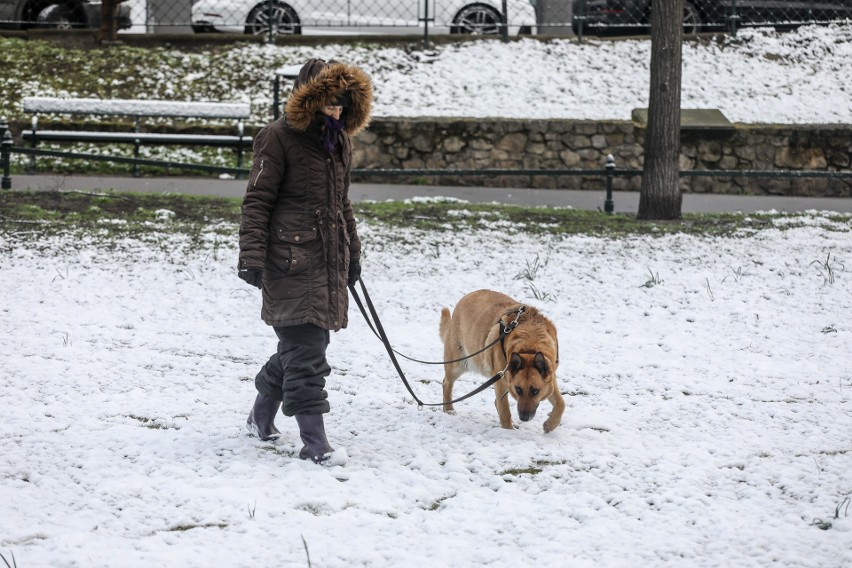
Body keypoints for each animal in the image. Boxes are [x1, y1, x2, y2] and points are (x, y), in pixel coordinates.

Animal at [440, 290, 564, 432]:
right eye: (518, 390)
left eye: (535, 391)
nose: (523, 418)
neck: (530, 346)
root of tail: (467, 296)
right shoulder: (500, 381)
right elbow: (505, 411)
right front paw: (508, 431)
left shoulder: (551, 378)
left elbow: (561, 403)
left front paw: (550, 424)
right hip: (458, 364)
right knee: (446, 383)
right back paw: (448, 409)